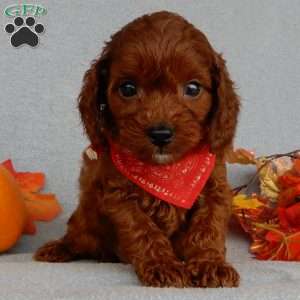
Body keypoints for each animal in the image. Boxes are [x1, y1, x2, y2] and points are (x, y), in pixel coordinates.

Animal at [35, 11, 240, 288]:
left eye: (193, 88)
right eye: (128, 89)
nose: (161, 134)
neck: (167, 170)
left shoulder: (215, 188)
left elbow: (208, 229)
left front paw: (211, 264)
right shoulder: (119, 197)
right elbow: (144, 232)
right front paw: (163, 266)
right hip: (85, 220)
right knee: (77, 236)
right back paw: (59, 248)